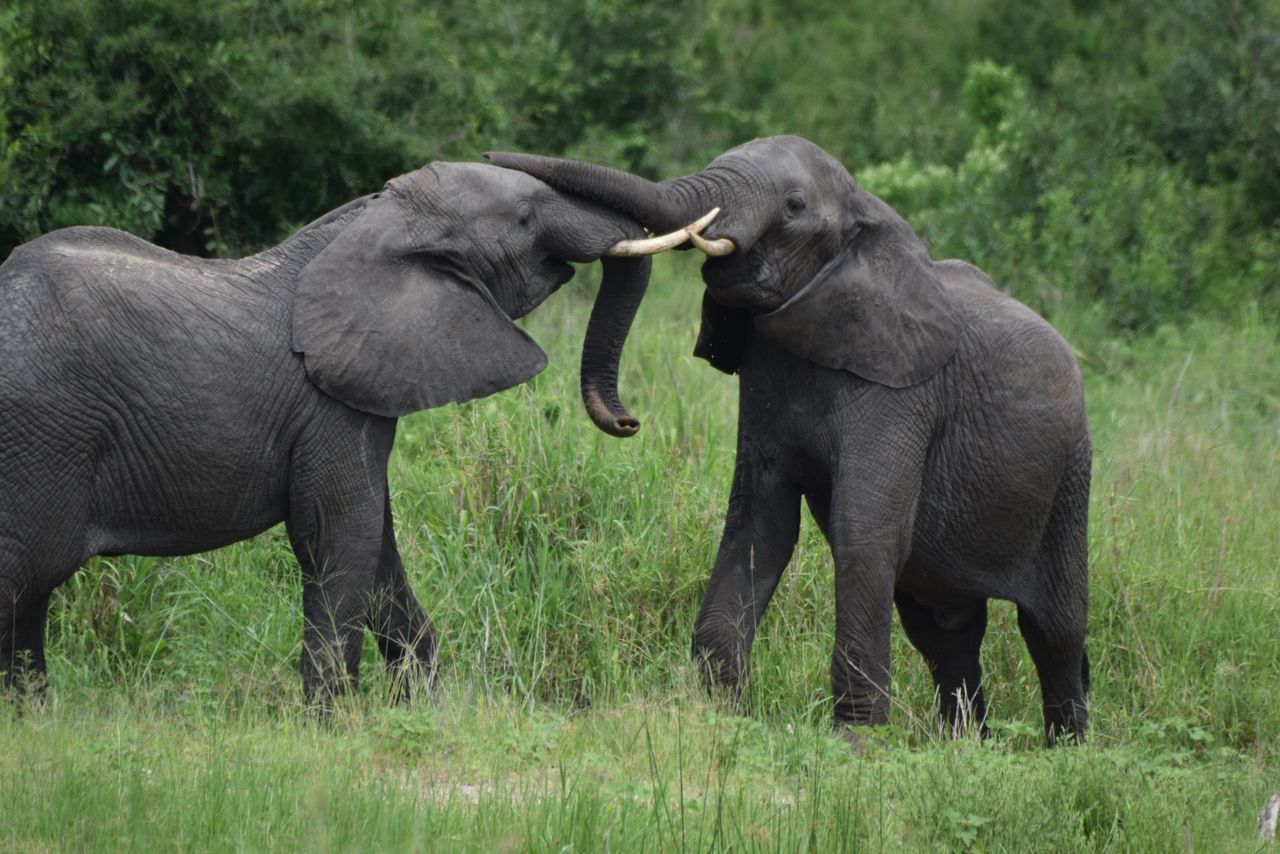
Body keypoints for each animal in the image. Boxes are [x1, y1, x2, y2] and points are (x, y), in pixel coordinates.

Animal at [0, 160, 710, 704]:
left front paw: (416, 703)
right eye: (525, 218)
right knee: (24, 577)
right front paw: (333, 723)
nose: (627, 421)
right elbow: (344, 528)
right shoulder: (329, 405)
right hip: (40, 437)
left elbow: (378, 544)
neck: (378, 222)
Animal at [488, 136, 1092, 744]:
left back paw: (1066, 749)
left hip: (1071, 475)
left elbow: (864, 533)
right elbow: (759, 525)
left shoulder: (901, 393)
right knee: (943, 630)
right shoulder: (763, 376)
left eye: (794, 205)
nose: (628, 422)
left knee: (1054, 629)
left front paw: (854, 744)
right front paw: (720, 716)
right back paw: (965, 746)